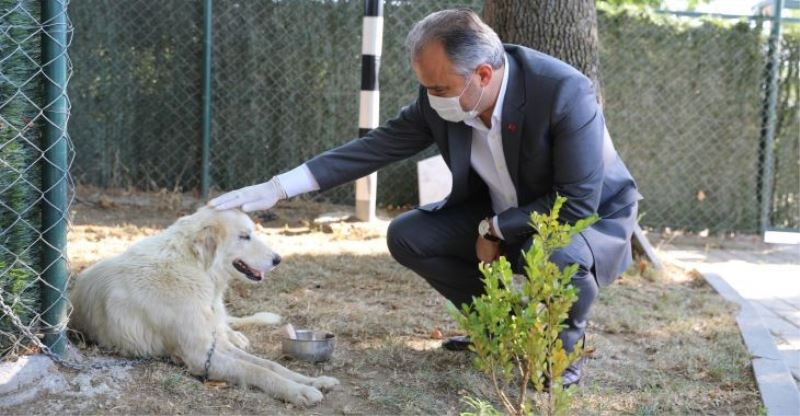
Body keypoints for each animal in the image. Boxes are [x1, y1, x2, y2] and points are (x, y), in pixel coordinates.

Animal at [69, 206, 340, 404]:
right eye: (244, 236)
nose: (278, 259)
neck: (195, 270)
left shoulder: (214, 344)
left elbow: (269, 364)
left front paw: (313, 381)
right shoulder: (200, 356)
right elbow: (256, 370)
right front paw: (298, 391)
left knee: (229, 327)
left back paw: (238, 335)